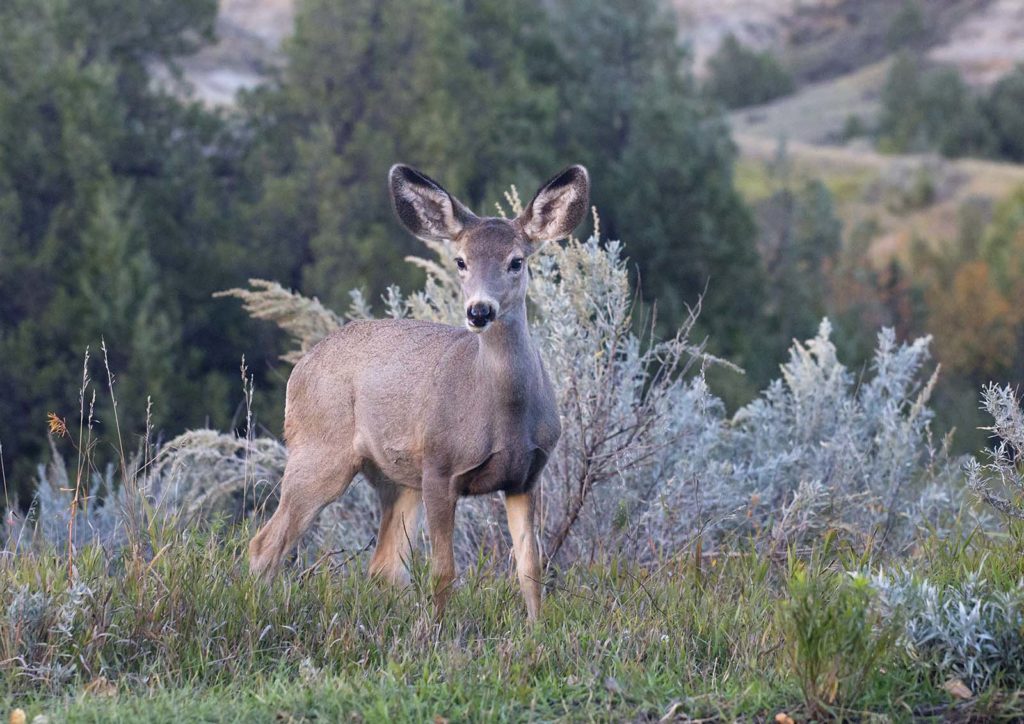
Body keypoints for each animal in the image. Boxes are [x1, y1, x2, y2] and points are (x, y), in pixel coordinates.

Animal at [244, 163, 593, 622]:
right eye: (460, 261)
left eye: (516, 261)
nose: (479, 311)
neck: (502, 413)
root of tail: (300, 366)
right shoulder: (440, 467)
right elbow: (444, 572)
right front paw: (437, 634)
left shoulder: (527, 475)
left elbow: (531, 570)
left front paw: (536, 631)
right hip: (319, 451)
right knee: (266, 543)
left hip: (396, 476)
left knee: (383, 564)